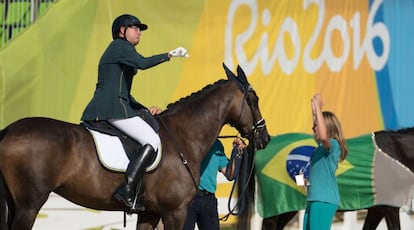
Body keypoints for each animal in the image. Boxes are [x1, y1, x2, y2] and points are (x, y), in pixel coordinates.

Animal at [0, 63, 270, 230]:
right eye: (254, 99)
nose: (264, 138)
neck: (183, 137)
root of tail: (8, 130)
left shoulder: (150, 213)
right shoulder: (175, 212)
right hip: (28, 205)